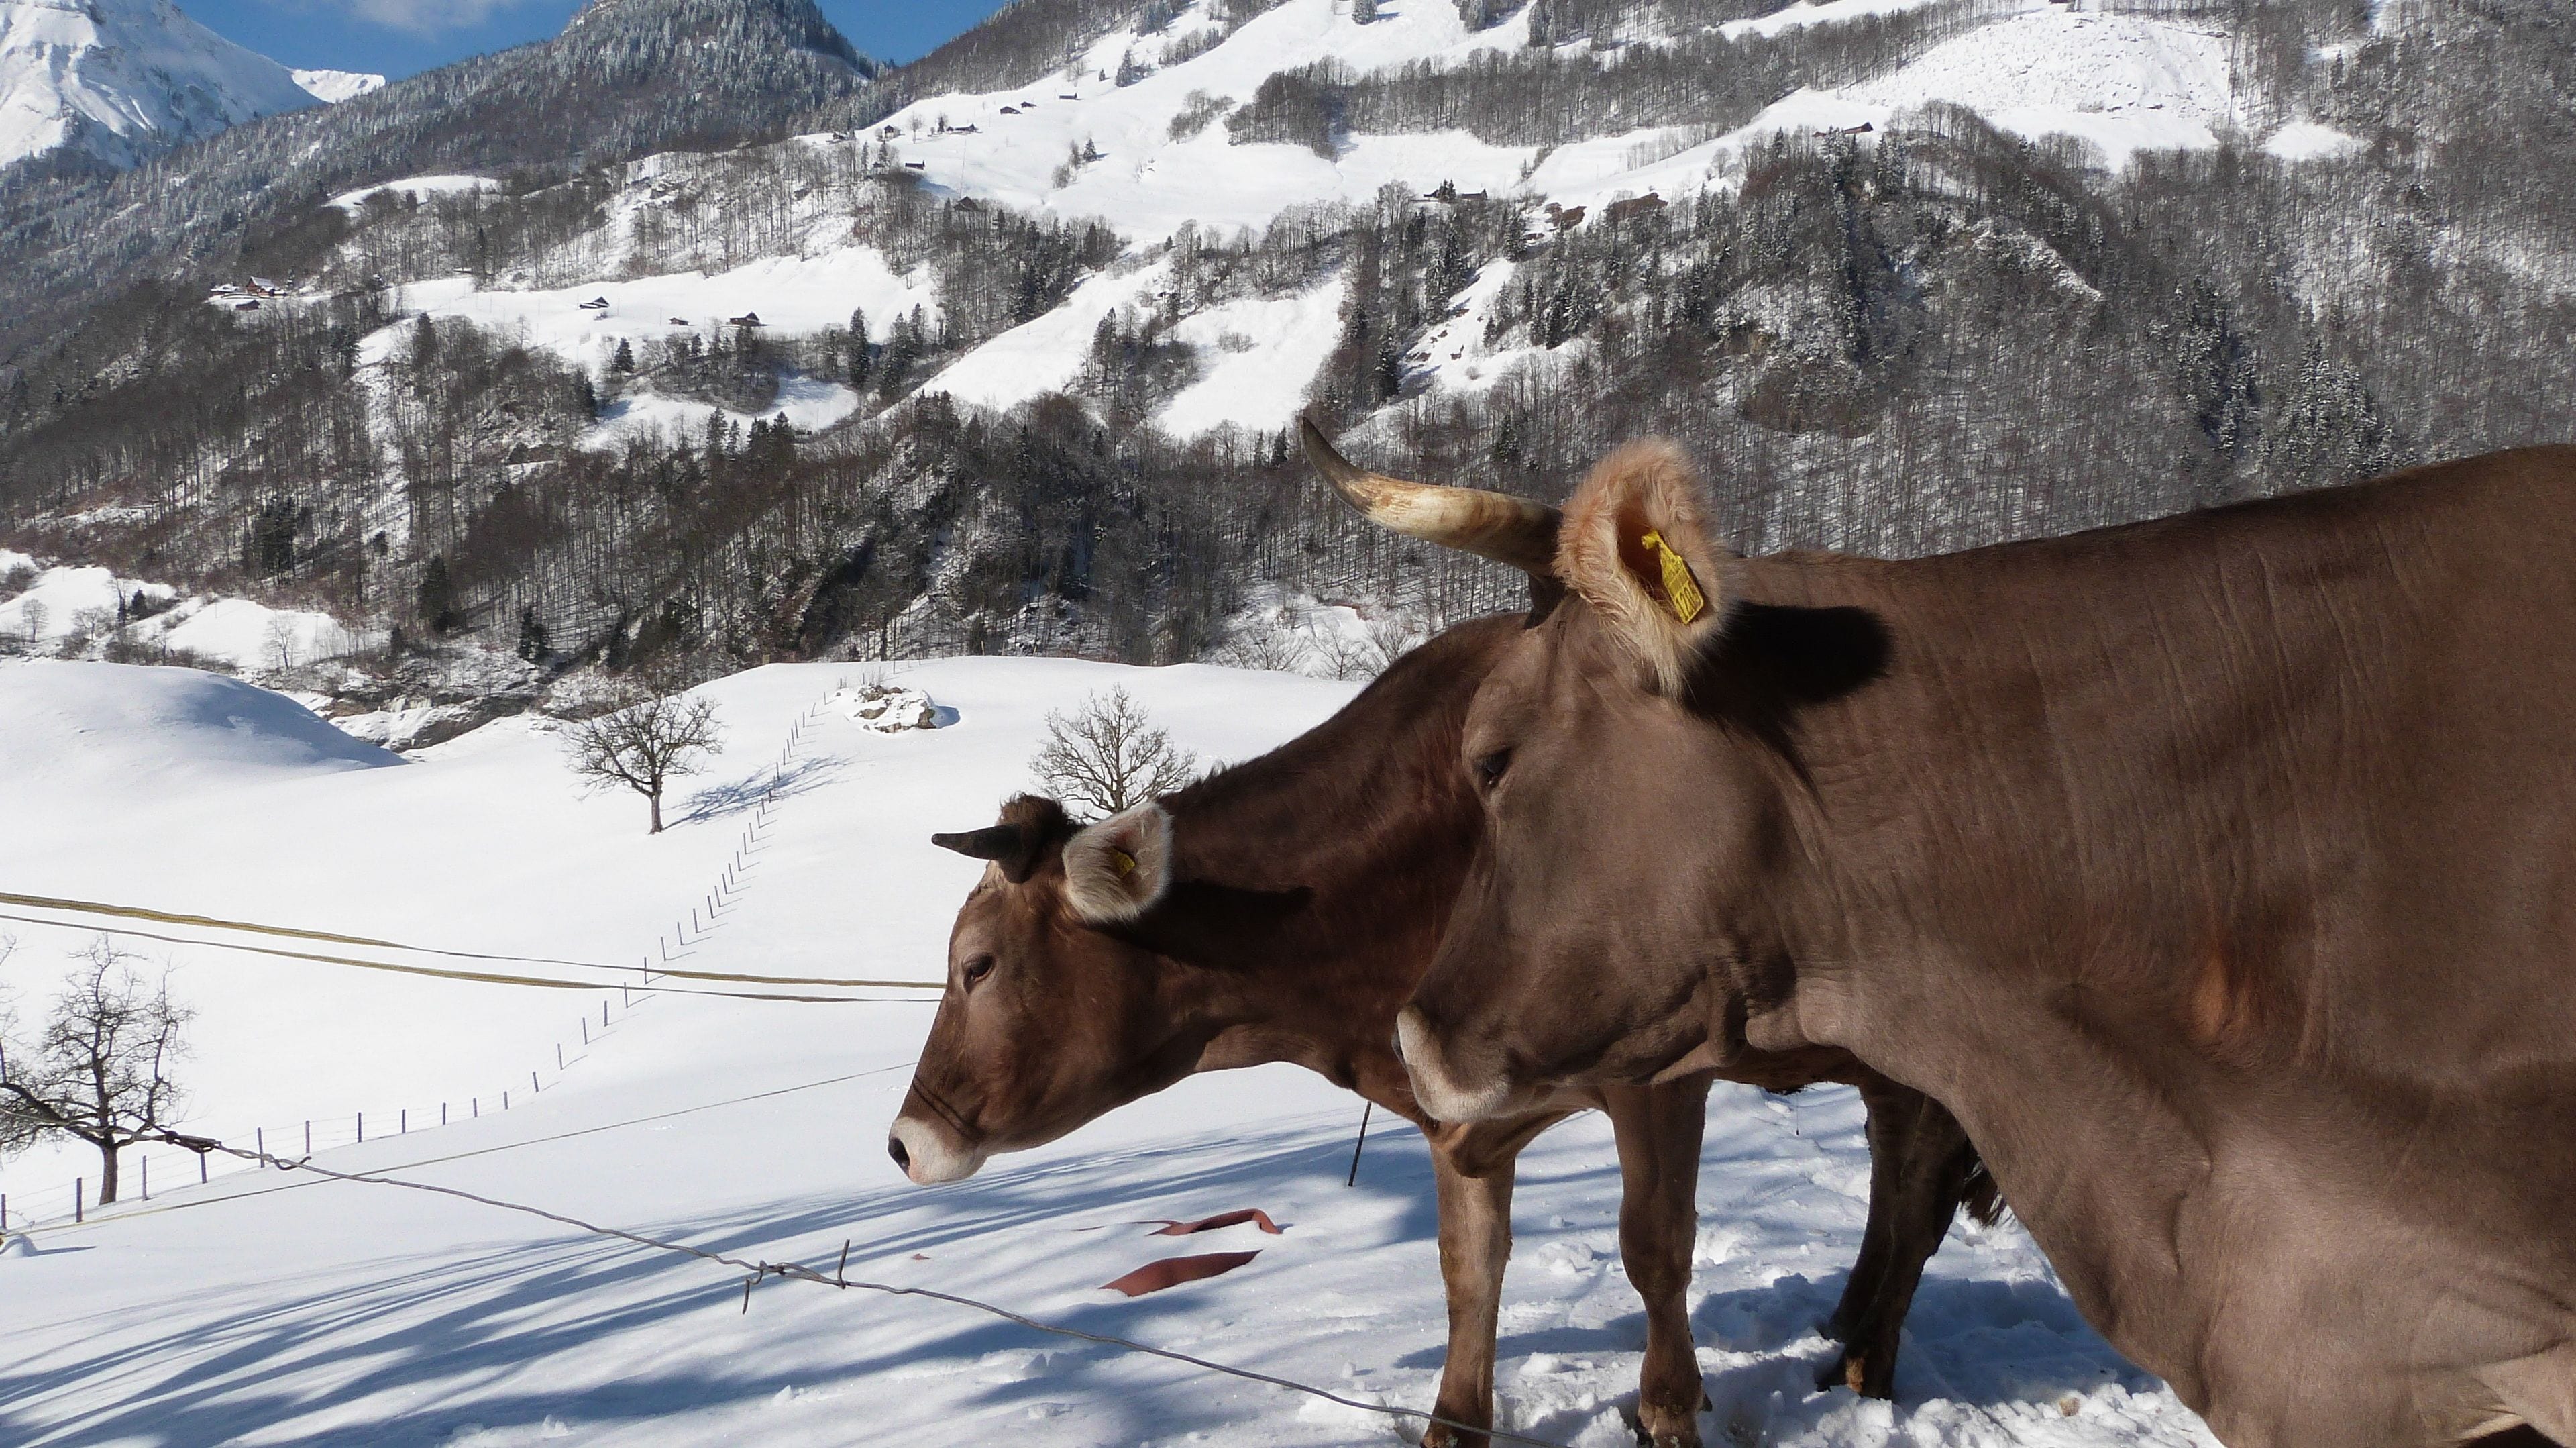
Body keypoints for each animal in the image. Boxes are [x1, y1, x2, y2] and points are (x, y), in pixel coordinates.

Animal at [886, 481, 1996, 1448]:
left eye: (977, 965)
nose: (901, 1141)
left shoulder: (1659, 1074)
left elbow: (1655, 1247)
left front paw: (1668, 1413)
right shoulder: (1452, 1105)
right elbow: (1469, 1262)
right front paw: (1454, 1420)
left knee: (1919, 1178)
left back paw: (1866, 1362)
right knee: (1900, 1166)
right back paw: (1847, 1333)